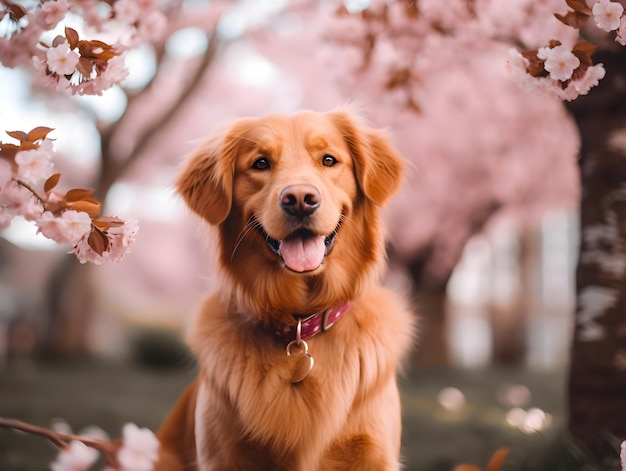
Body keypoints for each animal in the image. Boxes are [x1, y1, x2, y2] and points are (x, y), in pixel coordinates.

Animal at [155, 110, 414, 471]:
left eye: (329, 159)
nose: (300, 200)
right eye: (261, 163)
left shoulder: (374, 453)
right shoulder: (222, 455)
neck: (300, 324)